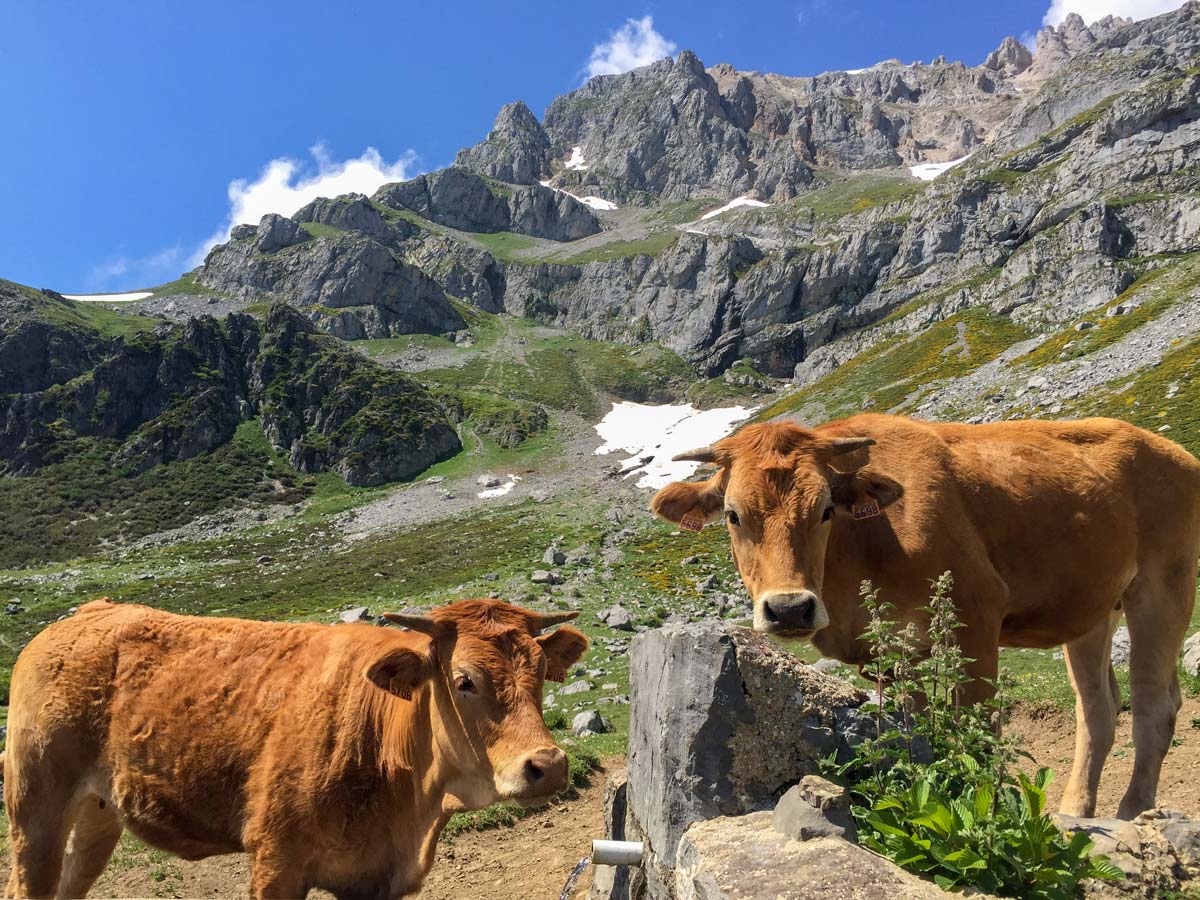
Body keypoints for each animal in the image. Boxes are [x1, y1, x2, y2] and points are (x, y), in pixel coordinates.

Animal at [0, 600, 588, 900]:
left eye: (541, 672)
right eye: (464, 680)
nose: (548, 766)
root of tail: (84, 614)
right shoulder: (276, 860)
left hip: (97, 815)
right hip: (35, 808)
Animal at [657, 417, 1200, 825]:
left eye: (826, 509)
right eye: (733, 515)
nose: (790, 608)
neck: (870, 541)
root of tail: (1173, 451)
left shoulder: (977, 617)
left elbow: (979, 732)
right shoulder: (894, 654)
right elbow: (917, 734)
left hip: (1163, 587)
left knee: (1154, 706)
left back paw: (1132, 814)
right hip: (1091, 610)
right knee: (1098, 709)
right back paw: (1075, 812)